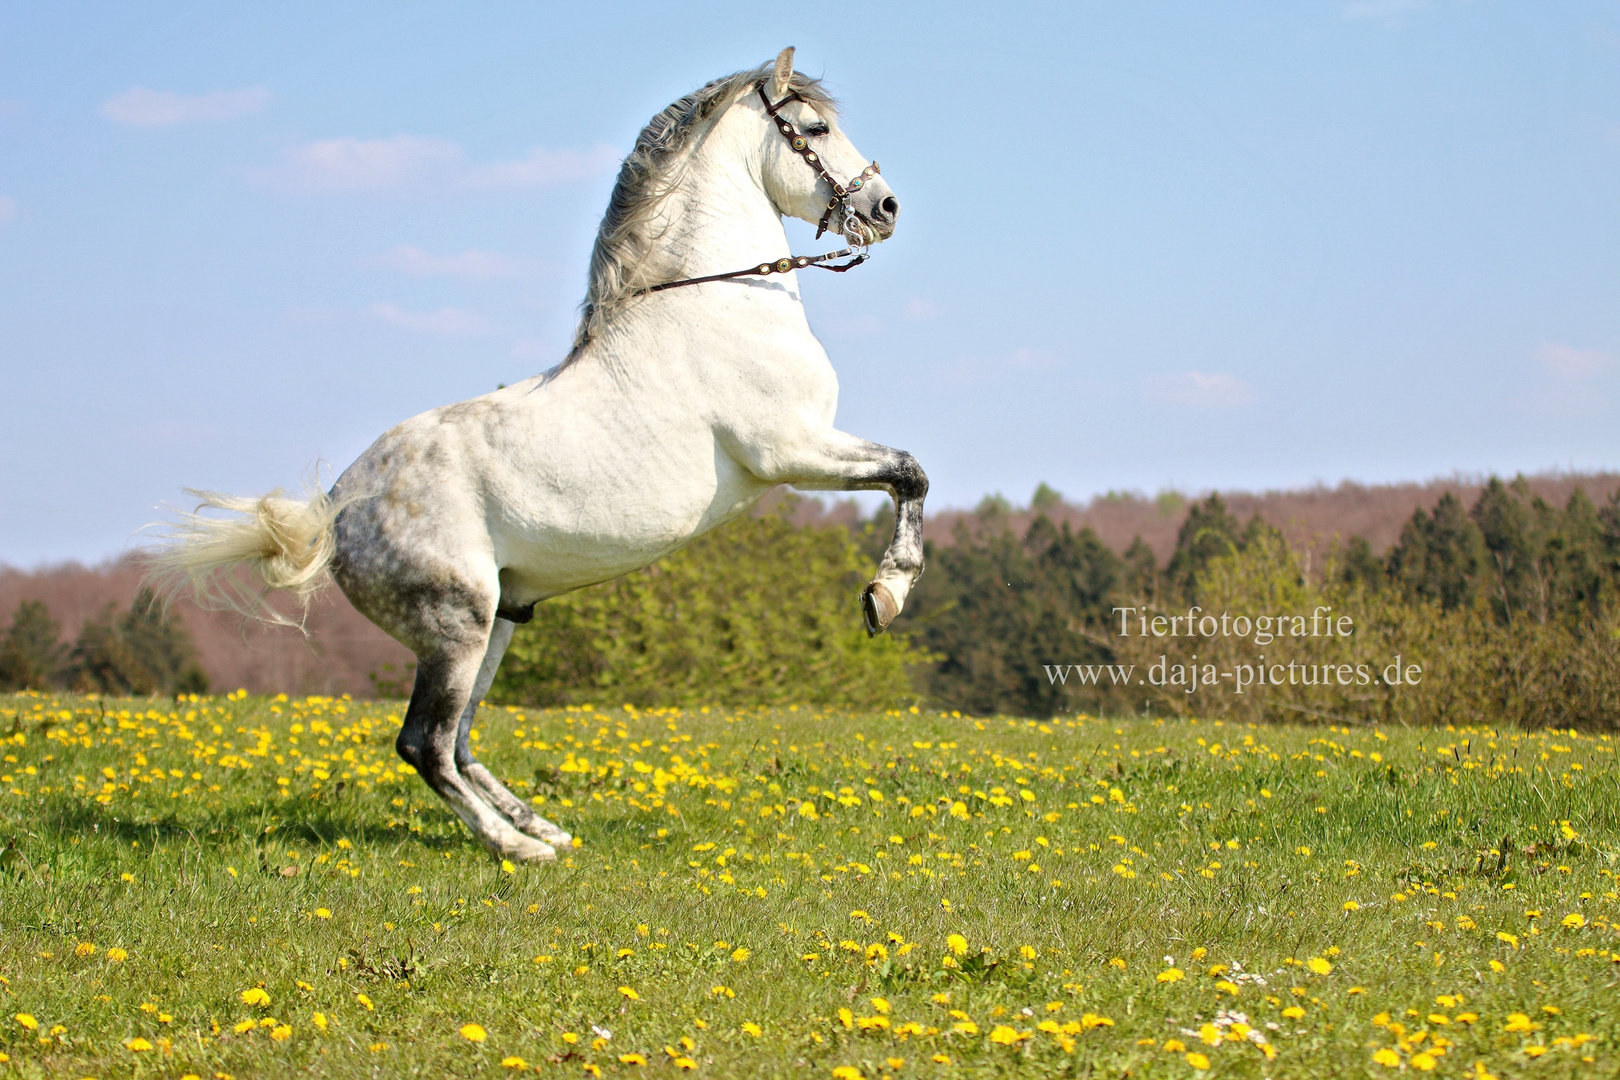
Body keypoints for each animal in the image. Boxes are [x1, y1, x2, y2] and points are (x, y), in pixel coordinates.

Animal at [161, 48, 939, 861]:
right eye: (815, 128)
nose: (886, 207)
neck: (716, 300)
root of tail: (335, 513)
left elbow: (909, 475)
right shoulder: (791, 452)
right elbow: (910, 473)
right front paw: (886, 596)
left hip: (499, 621)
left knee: (462, 738)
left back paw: (544, 827)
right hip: (455, 628)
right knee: (424, 744)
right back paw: (516, 847)